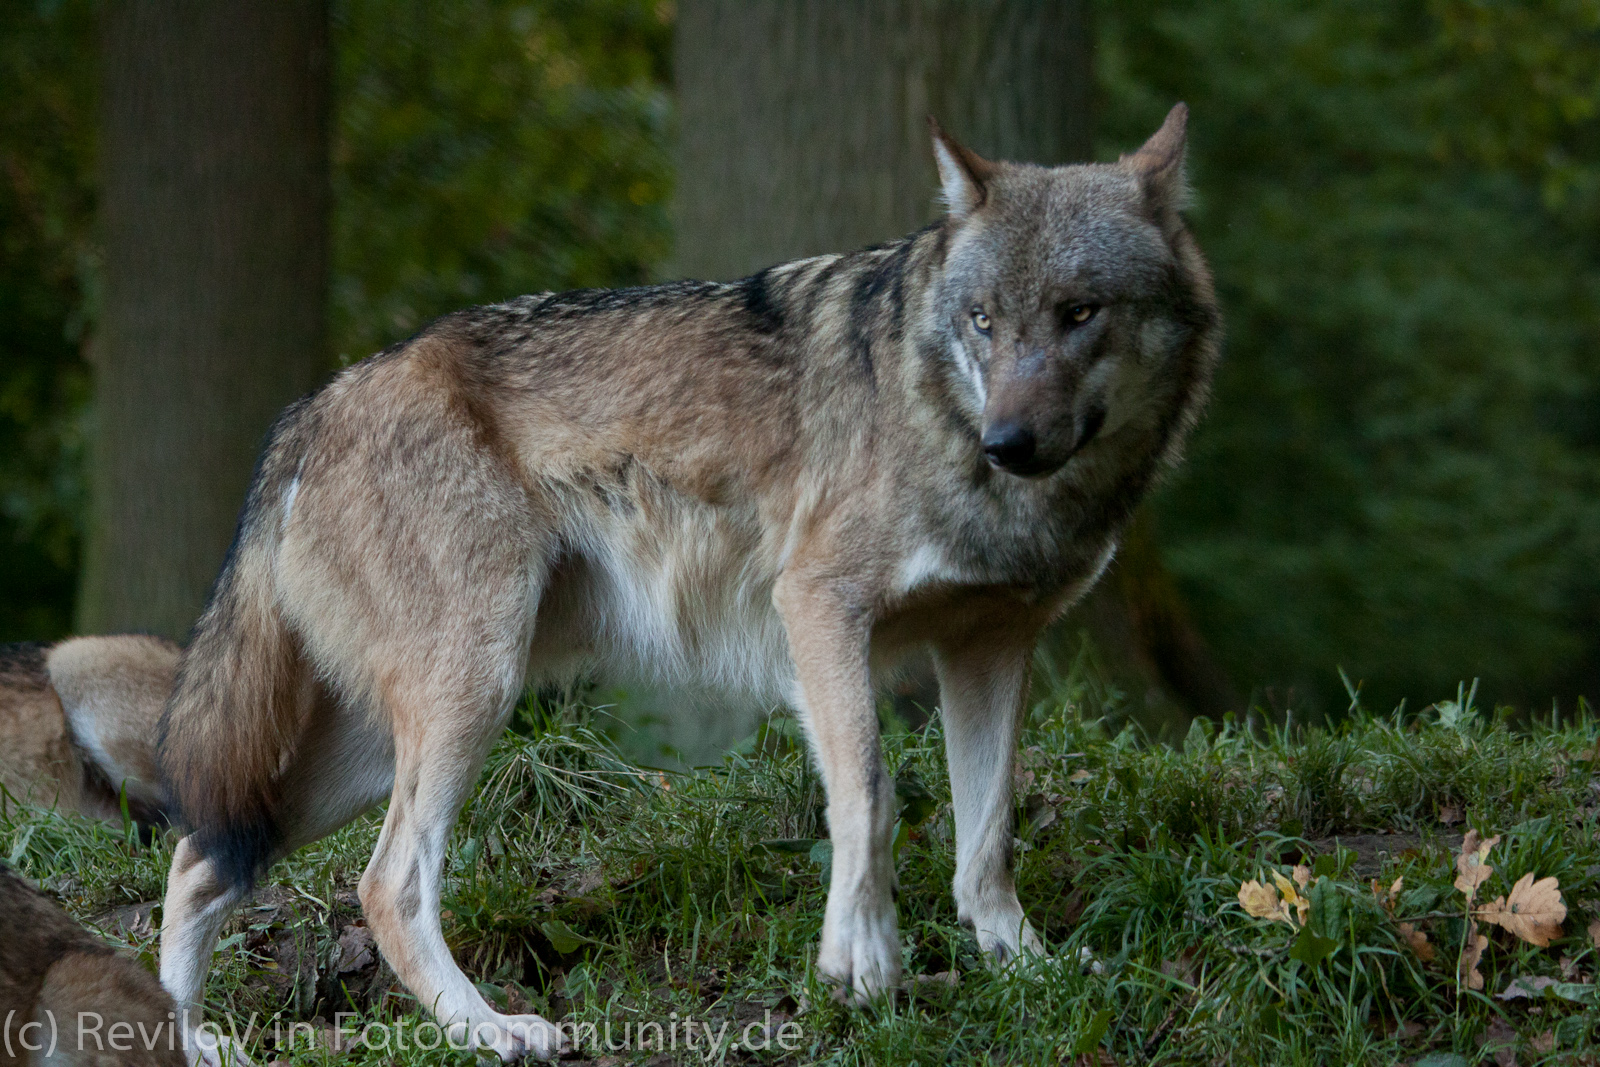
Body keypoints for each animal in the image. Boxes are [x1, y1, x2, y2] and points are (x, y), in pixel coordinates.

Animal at [156, 103, 1216, 1062]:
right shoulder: (820, 608)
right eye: (983, 320)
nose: (1008, 441)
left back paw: (187, 1037)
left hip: (373, 746)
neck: (947, 426)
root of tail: (311, 406)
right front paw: (862, 963)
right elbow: (870, 794)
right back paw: (495, 1030)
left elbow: (987, 834)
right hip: (468, 697)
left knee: (198, 858)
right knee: (384, 884)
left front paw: (1027, 964)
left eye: (1079, 313)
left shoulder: (990, 648)